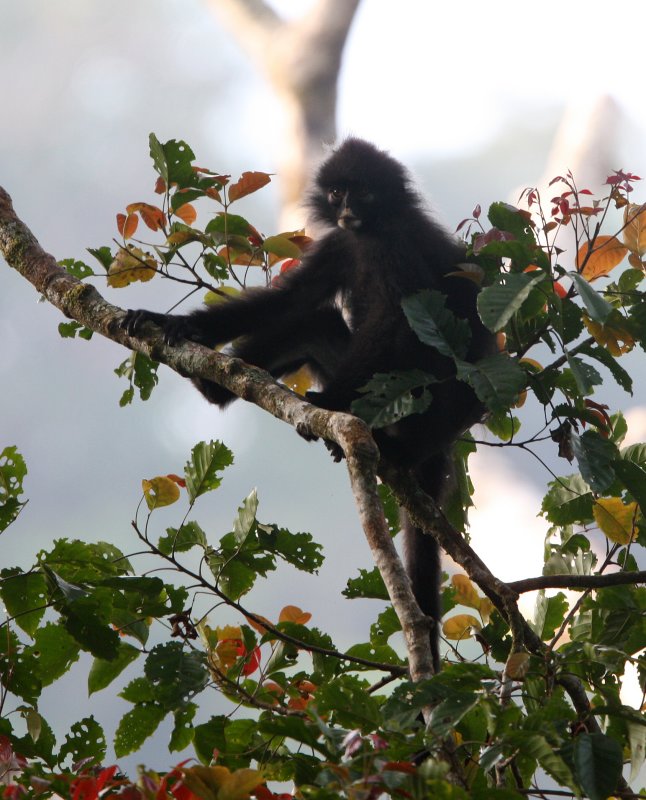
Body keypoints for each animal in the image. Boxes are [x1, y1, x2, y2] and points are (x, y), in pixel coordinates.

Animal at [125, 139, 496, 668]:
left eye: (363, 190)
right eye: (338, 190)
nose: (345, 209)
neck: (368, 232)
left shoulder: (396, 244)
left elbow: (399, 320)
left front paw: (334, 401)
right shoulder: (339, 245)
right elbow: (292, 300)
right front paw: (178, 324)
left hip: (421, 404)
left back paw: (386, 443)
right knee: (311, 320)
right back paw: (212, 387)